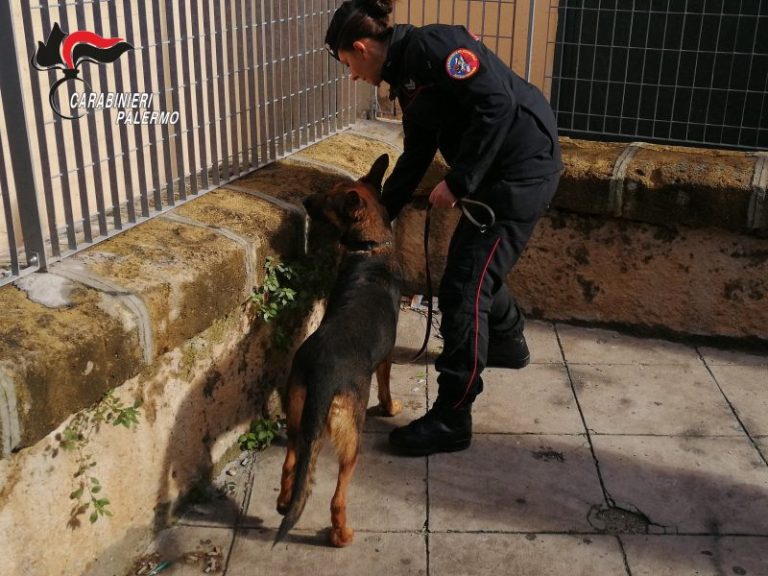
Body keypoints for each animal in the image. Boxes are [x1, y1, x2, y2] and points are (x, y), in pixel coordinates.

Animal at [274, 154, 402, 548]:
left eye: (329, 199)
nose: (304, 201)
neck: (370, 248)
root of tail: (322, 375)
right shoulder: (386, 358)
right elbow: (387, 385)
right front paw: (390, 408)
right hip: (351, 440)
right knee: (337, 495)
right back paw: (340, 534)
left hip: (297, 416)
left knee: (292, 461)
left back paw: (284, 502)